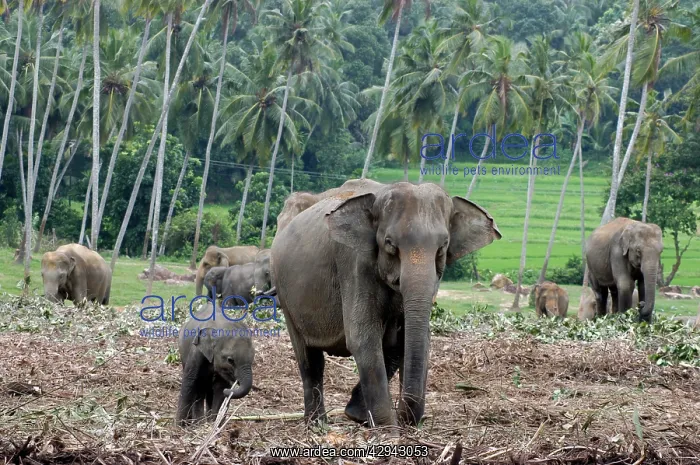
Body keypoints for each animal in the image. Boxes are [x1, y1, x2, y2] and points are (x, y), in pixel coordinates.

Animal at [271, 181, 501, 429]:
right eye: (390, 245)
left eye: (443, 247)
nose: (405, 419)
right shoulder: (354, 263)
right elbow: (363, 337)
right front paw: (387, 429)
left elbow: (405, 340)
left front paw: (359, 416)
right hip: (284, 293)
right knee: (309, 358)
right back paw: (317, 424)